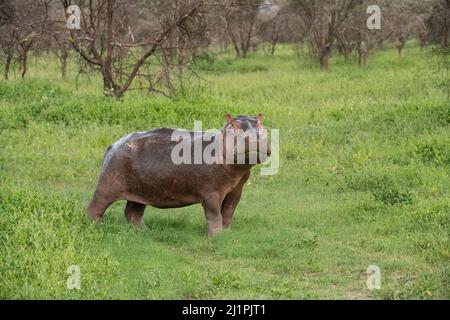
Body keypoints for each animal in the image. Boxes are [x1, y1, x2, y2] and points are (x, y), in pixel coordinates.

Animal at [88, 114, 270, 236]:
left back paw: (145, 232)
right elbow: (214, 215)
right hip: (107, 185)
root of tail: (112, 145)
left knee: (133, 213)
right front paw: (216, 237)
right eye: (234, 125)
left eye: (260, 122)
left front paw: (227, 233)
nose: (254, 136)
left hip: (141, 191)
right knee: (95, 207)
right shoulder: (211, 193)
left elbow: (228, 212)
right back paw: (96, 227)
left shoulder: (236, 190)